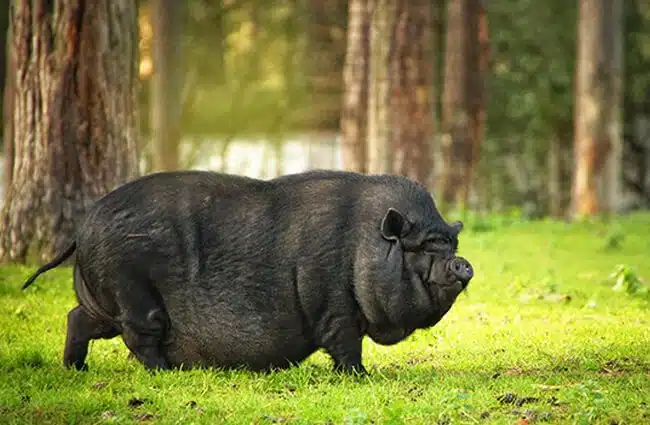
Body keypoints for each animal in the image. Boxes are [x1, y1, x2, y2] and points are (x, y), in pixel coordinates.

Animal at [21, 169, 474, 374]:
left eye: (450, 243)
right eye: (422, 246)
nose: (463, 264)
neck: (364, 243)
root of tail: (82, 228)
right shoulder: (333, 305)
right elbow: (346, 345)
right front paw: (362, 377)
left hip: (103, 300)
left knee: (77, 318)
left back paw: (75, 368)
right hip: (129, 288)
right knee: (140, 336)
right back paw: (165, 371)